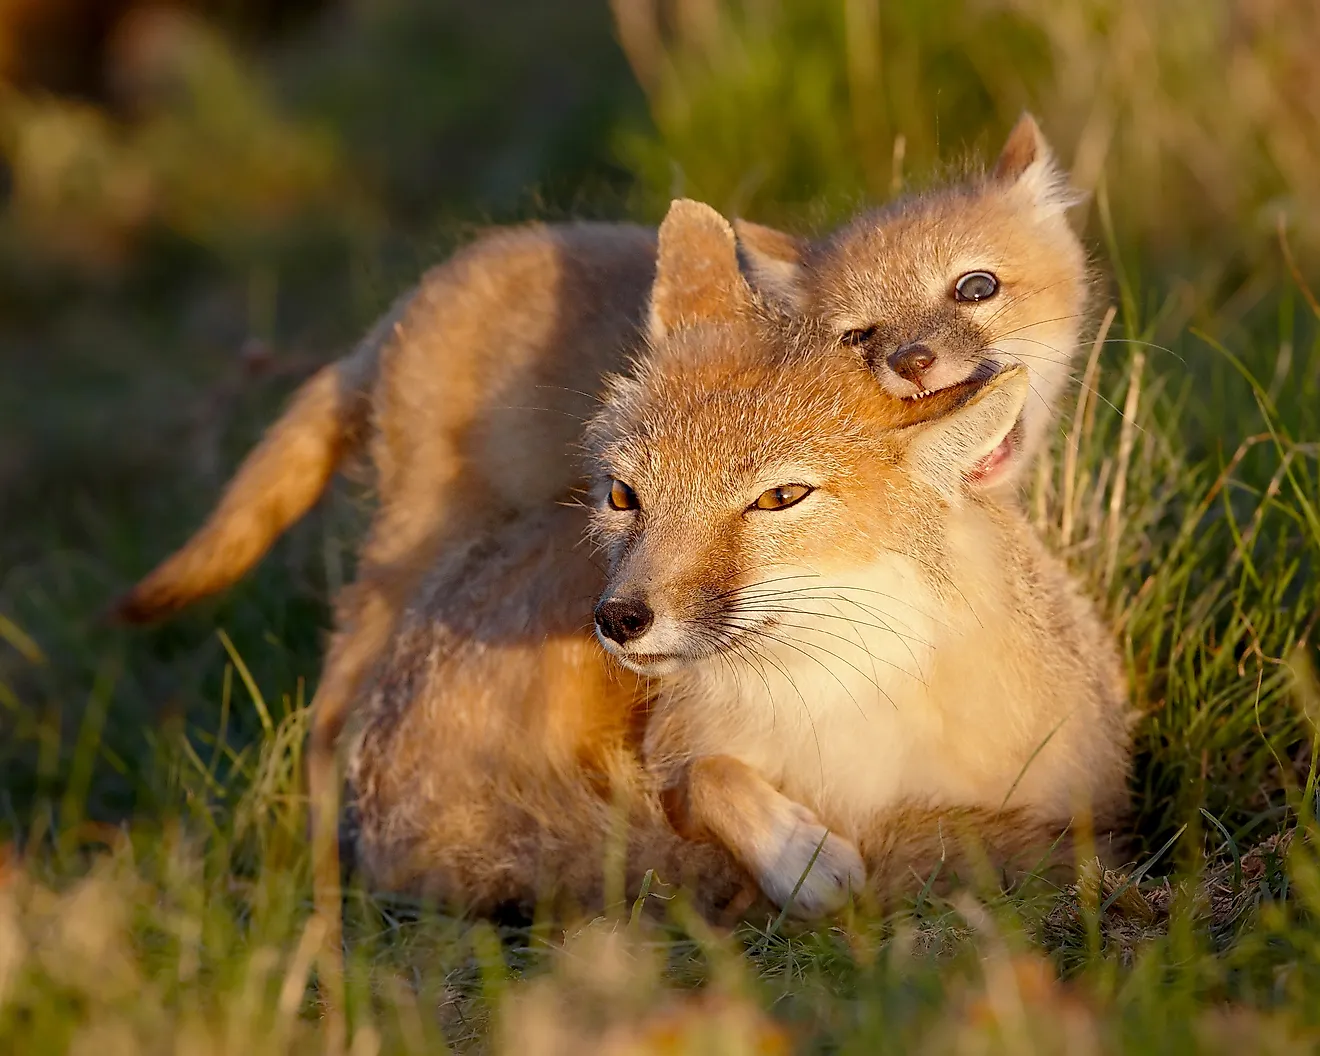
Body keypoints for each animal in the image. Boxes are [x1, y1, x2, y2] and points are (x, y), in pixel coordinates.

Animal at [344, 198, 1130, 920]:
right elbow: (706, 778)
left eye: (780, 497)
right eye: (624, 495)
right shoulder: (676, 755)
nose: (619, 618)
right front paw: (802, 856)